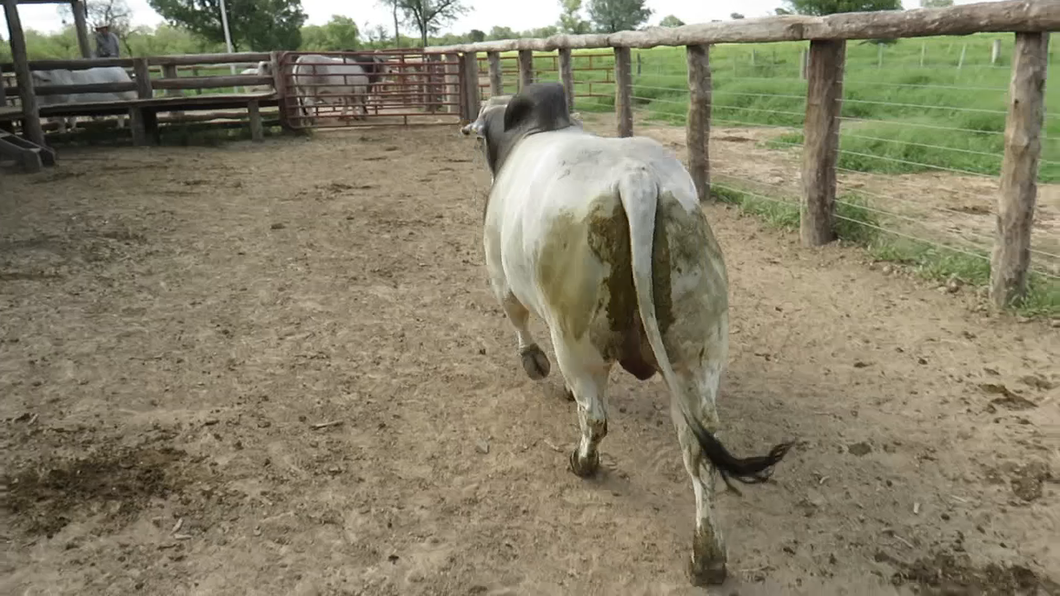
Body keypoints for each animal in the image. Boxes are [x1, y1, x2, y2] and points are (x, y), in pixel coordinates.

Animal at [460, 82, 792, 585]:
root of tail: (637, 181)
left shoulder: (501, 279)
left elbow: (521, 327)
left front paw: (535, 365)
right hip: (696, 359)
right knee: (698, 448)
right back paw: (707, 557)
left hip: (578, 343)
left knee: (595, 417)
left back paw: (583, 463)